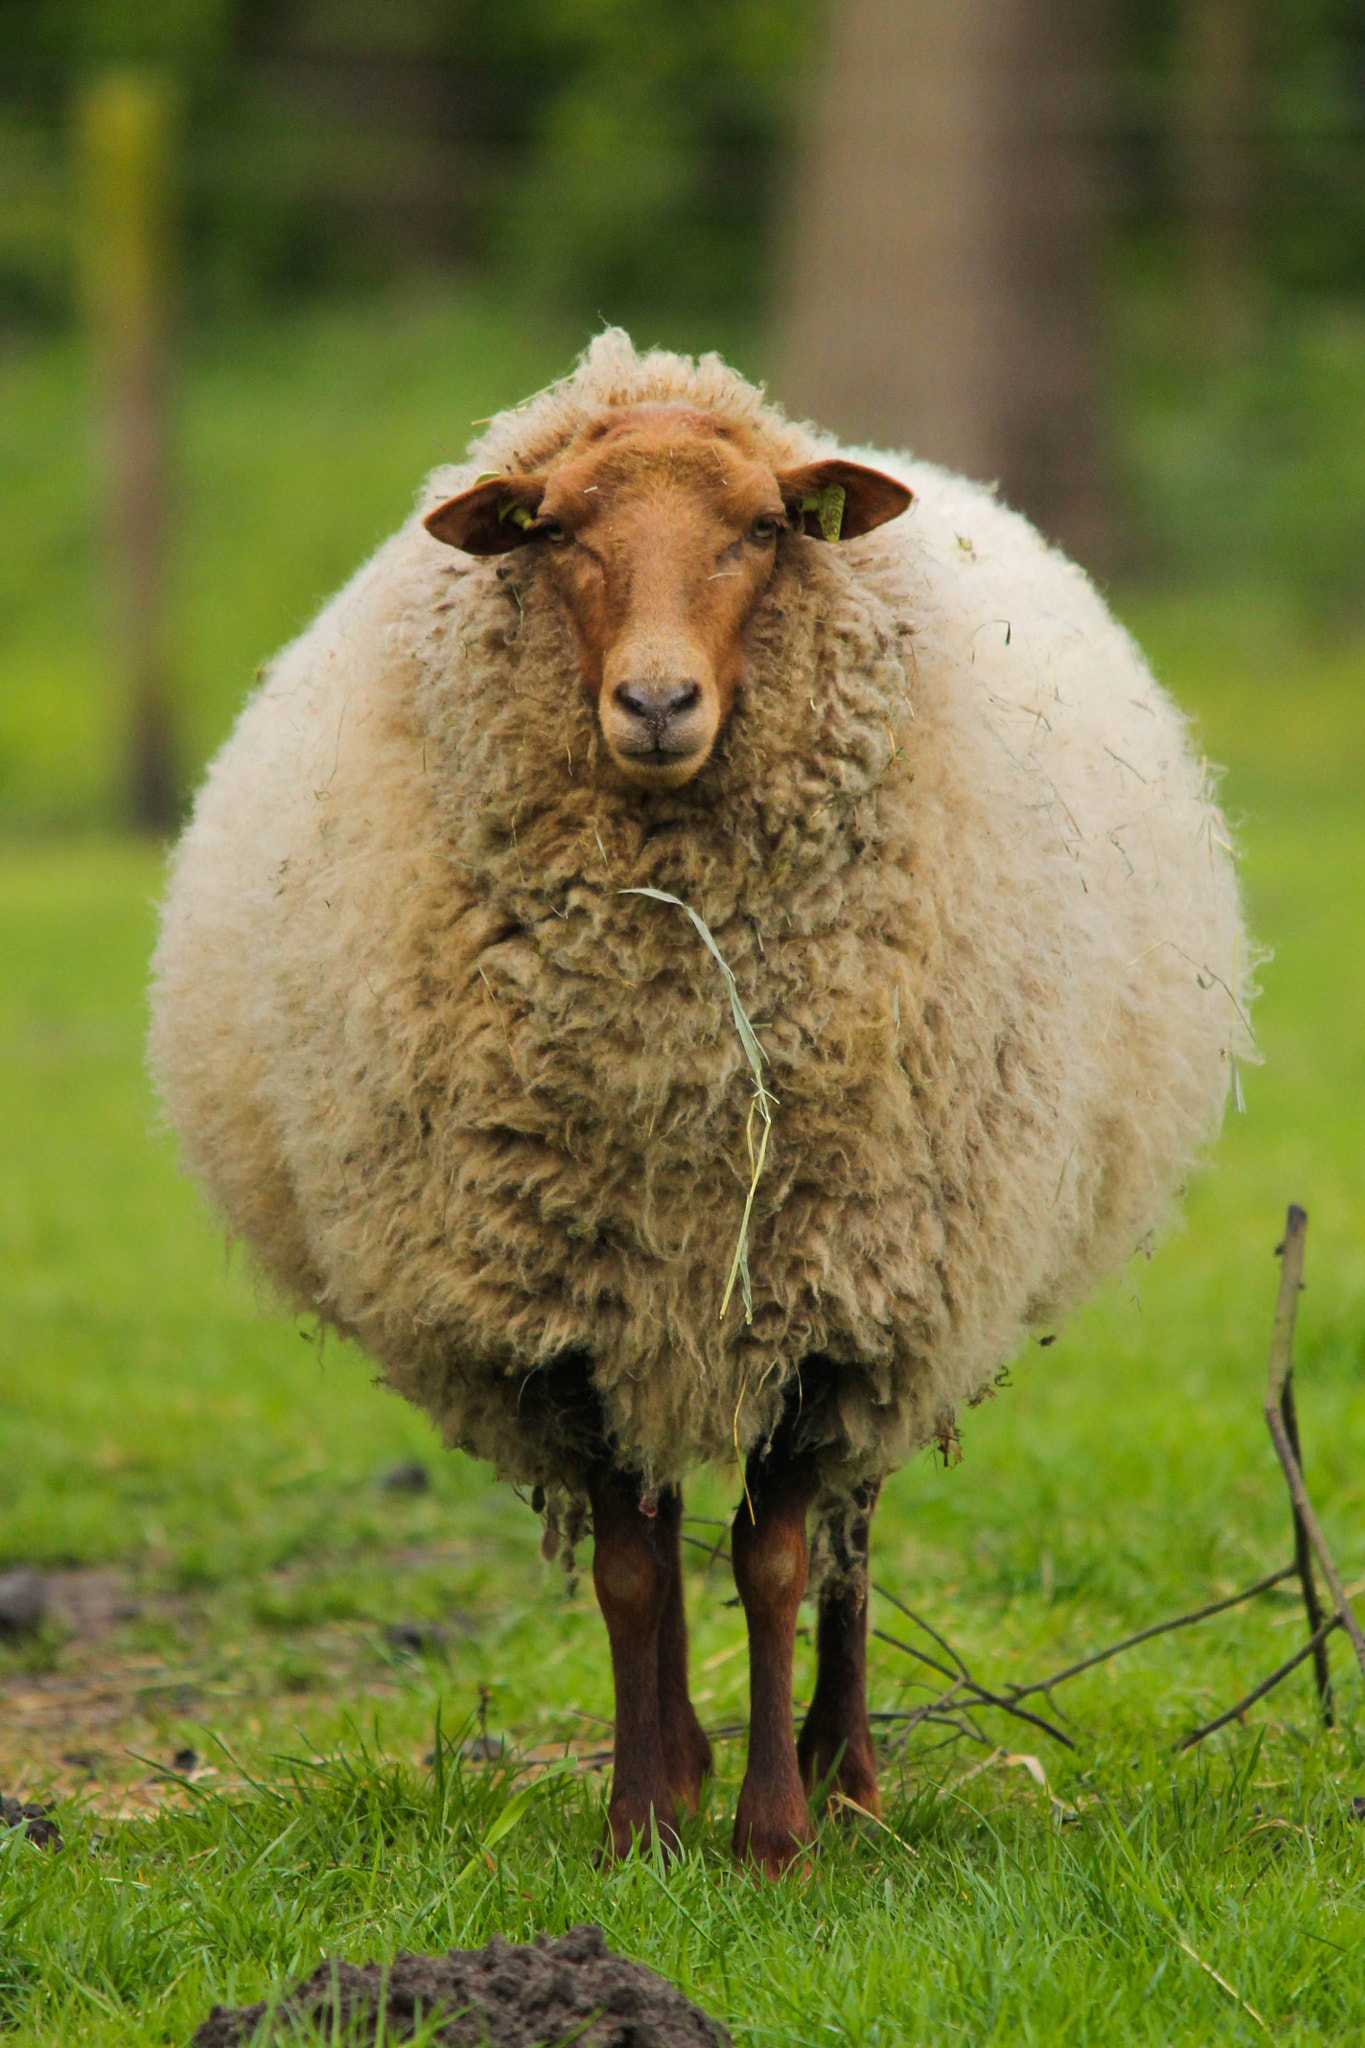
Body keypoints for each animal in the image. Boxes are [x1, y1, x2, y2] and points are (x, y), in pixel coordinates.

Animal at [149, 329, 1251, 1874]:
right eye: (556, 534)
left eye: (761, 531)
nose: (658, 705)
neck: (671, 1020)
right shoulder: (569, 1307)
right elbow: (628, 1569)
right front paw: (642, 1826)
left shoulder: (829, 1297)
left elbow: (776, 1557)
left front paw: (775, 1837)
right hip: (657, 1299)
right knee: (671, 1535)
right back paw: (679, 1766)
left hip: (883, 1300)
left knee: (852, 1533)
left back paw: (844, 1774)